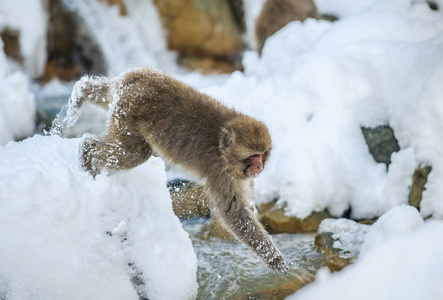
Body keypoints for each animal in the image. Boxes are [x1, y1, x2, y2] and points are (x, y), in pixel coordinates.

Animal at [66, 67, 288, 274]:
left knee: (109, 98)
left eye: (262, 154)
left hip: (121, 103)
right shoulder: (222, 175)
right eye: (252, 157)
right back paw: (86, 152)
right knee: (136, 152)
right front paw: (274, 259)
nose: (259, 167)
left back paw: (83, 89)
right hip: (128, 113)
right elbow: (234, 213)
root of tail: (136, 77)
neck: (223, 146)